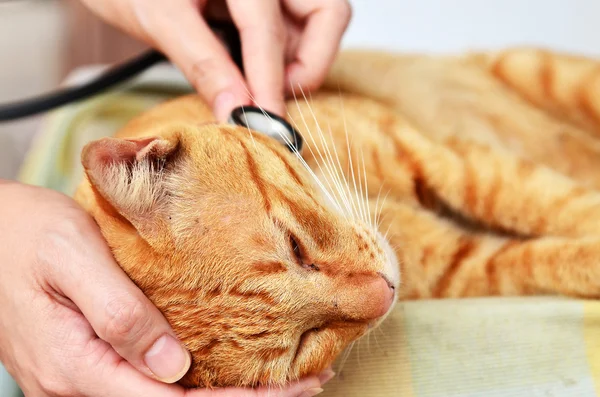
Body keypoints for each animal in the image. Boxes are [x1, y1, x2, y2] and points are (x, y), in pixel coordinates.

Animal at [75, 47, 600, 386]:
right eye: (303, 345)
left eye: (296, 247)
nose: (386, 293)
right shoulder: (462, 266)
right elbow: (538, 258)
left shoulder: (458, 163)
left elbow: (555, 202)